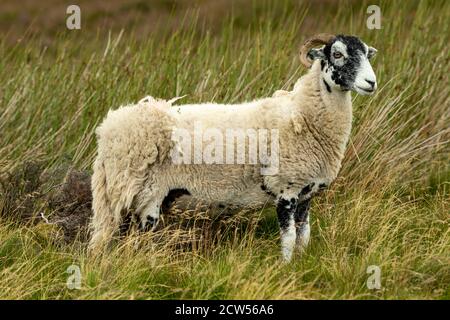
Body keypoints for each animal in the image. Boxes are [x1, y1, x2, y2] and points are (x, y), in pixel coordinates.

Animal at [89, 33, 378, 262]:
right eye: (337, 54)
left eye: (367, 54)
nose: (371, 83)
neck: (303, 113)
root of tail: (109, 129)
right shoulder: (285, 190)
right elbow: (288, 238)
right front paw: (286, 267)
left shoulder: (306, 193)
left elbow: (304, 236)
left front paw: (302, 262)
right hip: (138, 194)